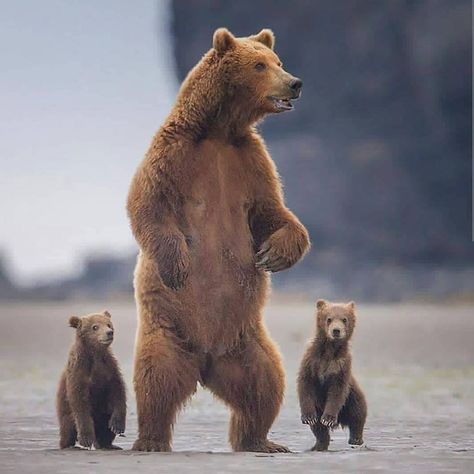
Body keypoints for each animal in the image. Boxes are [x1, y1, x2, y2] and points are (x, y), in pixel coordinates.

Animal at [55, 312, 127, 450]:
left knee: (105, 426)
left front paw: (117, 425)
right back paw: (70, 445)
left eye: (108, 324)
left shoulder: (109, 369)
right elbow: (80, 402)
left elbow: (118, 392)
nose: (109, 332)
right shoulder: (79, 372)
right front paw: (86, 439)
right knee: (67, 427)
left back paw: (108, 444)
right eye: (95, 327)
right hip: (64, 411)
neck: (95, 354)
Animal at [127, 26, 312, 452]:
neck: (219, 130)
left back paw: (262, 441)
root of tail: (206, 362)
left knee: (265, 383)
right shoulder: (174, 152)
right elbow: (147, 202)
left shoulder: (251, 161)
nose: (295, 83)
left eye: (277, 61)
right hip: (169, 331)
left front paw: (273, 255)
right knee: (155, 380)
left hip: (247, 342)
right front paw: (177, 265)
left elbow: (271, 211)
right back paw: (152, 440)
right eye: (259, 65)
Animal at [298, 300, 368, 452]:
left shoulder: (341, 366)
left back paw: (356, 438)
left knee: (358, 412)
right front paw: (308, 417)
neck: (329, 351)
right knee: (318, 428)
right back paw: (318, 445)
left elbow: (337, 392)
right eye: (329, 319)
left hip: (352, 395)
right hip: (318, 406)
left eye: (344, 319)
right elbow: (305, 384)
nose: (336, 330)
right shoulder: (311, 361)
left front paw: (328, 418)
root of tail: (341, 420)